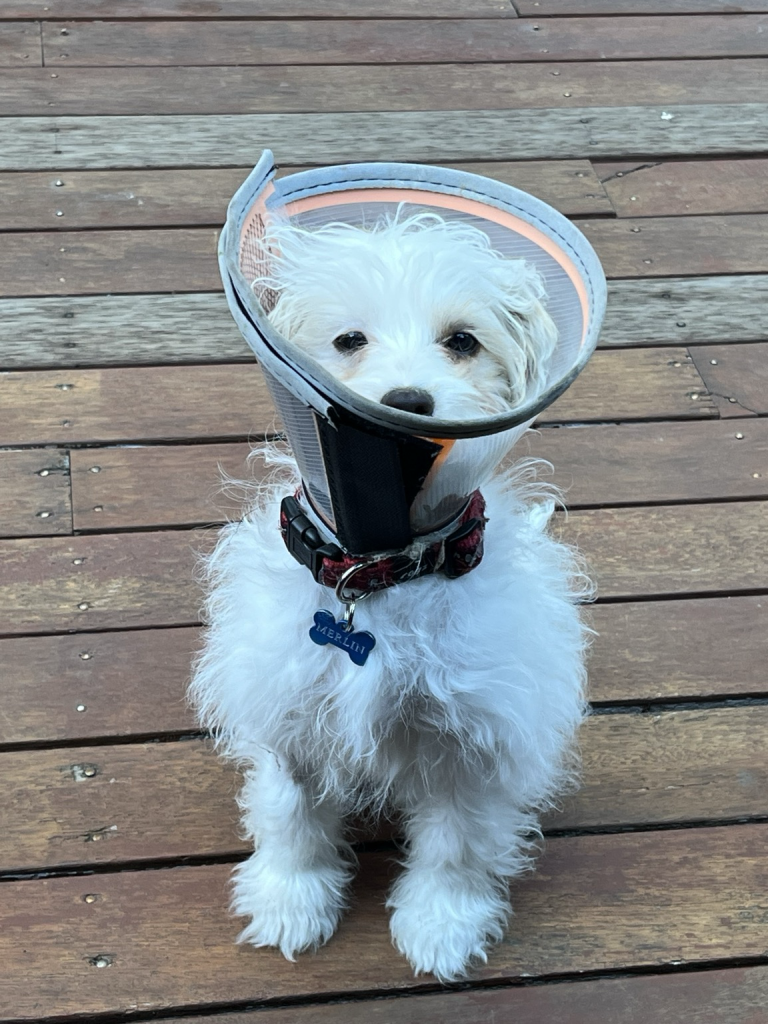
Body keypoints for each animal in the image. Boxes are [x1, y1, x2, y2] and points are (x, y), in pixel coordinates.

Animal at [191, 211, 589, 978]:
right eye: (350, 340)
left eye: (462, 341)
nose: (408, 402)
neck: (378, 577)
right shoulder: (288, 718)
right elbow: (291, 819)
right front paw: (290, 900)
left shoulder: (473, 742)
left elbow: (456, 845)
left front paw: (442, 924)